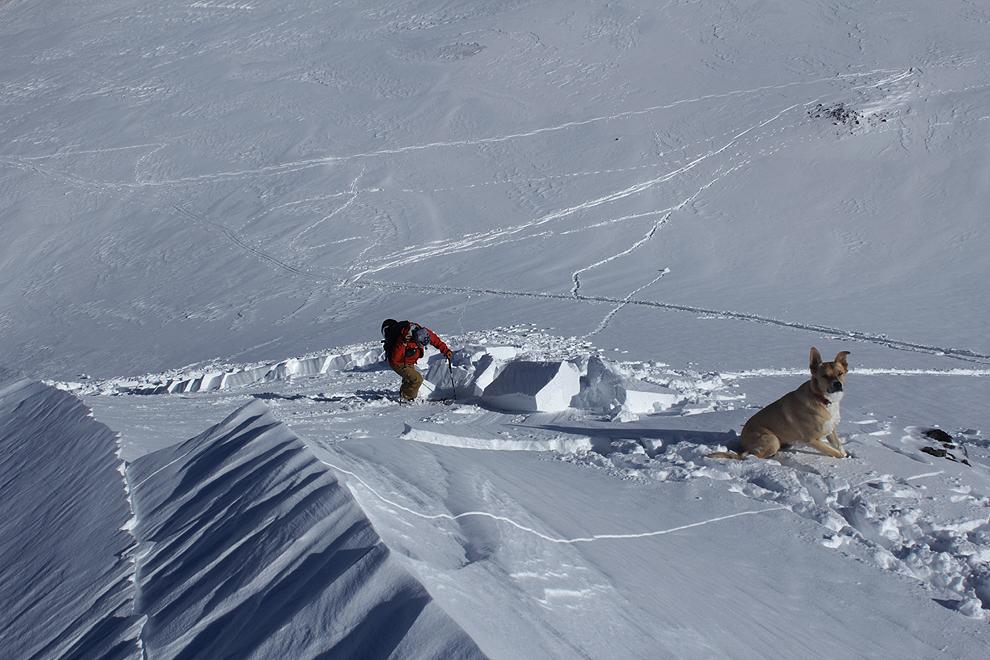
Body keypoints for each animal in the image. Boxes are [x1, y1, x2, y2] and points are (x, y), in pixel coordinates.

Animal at [712, 348, 852, 462]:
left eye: (840, 373)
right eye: (824, 376)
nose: (837, 384)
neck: (823, 399)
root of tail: (742, 440)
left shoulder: (831, 429)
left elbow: (839, 446)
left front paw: (847, 456)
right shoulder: (812, 439)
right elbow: (835, 453)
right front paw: (843, 459)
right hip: (772, 439)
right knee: (752, 456)